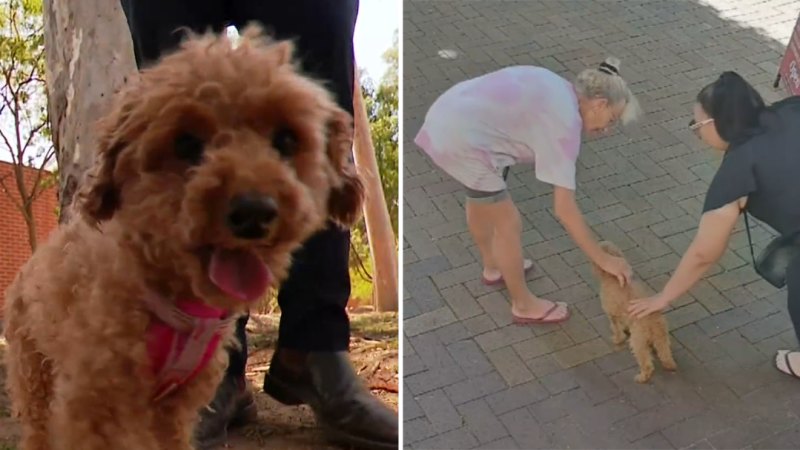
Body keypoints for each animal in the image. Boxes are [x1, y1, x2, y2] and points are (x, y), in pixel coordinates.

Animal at [2, 27, 362, 450]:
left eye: (286, 140)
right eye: (186, 144)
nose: (254, 212)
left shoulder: (173, 407)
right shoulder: (94, 400)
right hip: (34, 373)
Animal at [592, 243, 680, 384]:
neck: (613, 277)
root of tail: (652, 321)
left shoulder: (612, 313)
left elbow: (616, 328)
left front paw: (617, 339)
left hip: (637, 341)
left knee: (647, 364)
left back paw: (642, 377)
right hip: (661, 338)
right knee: (665, 354)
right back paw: (669, 364)